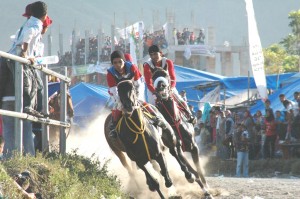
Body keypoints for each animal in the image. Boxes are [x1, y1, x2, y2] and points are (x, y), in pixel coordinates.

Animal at [152, 68, 211, 197]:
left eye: (166, 75)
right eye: (153, 77)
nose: (161, 86)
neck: (174, 121)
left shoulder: (194, 147)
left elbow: (199, 169)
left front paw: (207, 188)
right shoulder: (177, 149)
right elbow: (192, 170)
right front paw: (194, 180)